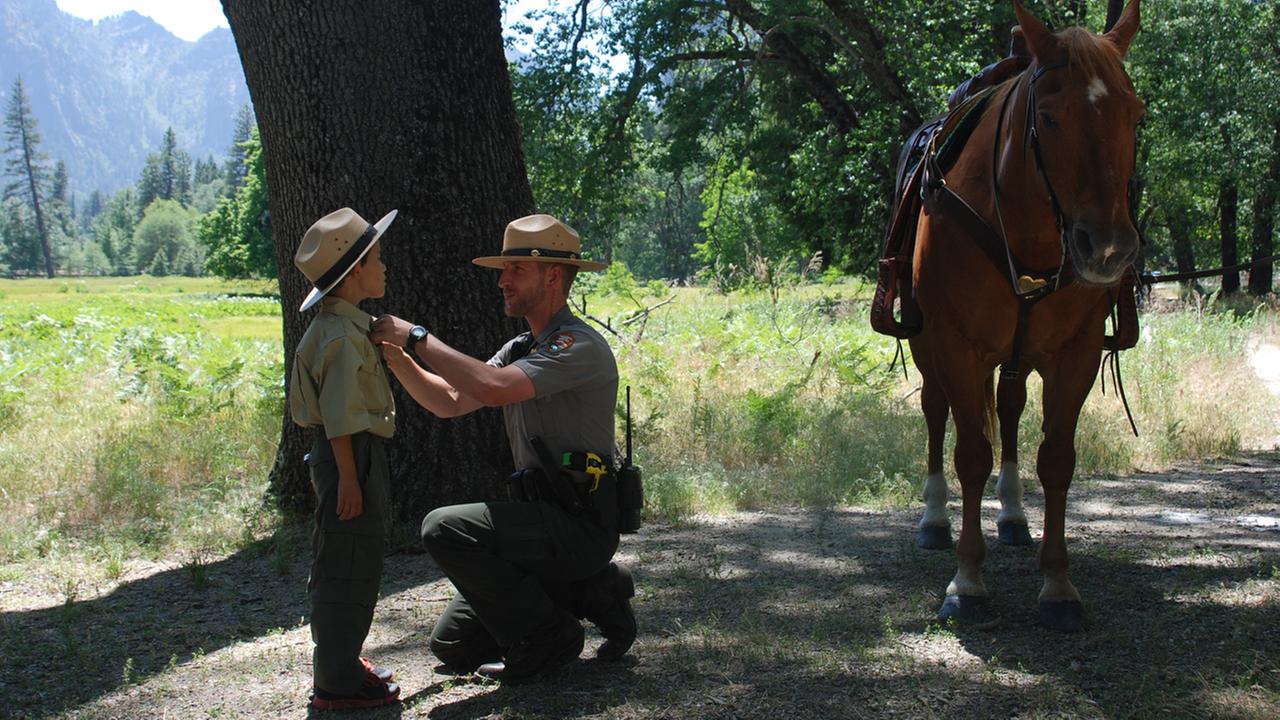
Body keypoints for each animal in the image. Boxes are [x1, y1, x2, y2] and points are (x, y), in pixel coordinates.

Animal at [911, 0, 1141, 627]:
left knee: (1011, 411)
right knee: (936, 414)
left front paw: (1058, 585)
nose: (1107, 249)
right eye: (1052, 117)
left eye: (1134, 114)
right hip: (928, 348)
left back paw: (1014, 516)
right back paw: (934, 520)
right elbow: (969, 454)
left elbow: (1056, 460)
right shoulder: (956, 346)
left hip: (1016, 357)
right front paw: (967, 580)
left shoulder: (1075, 352)